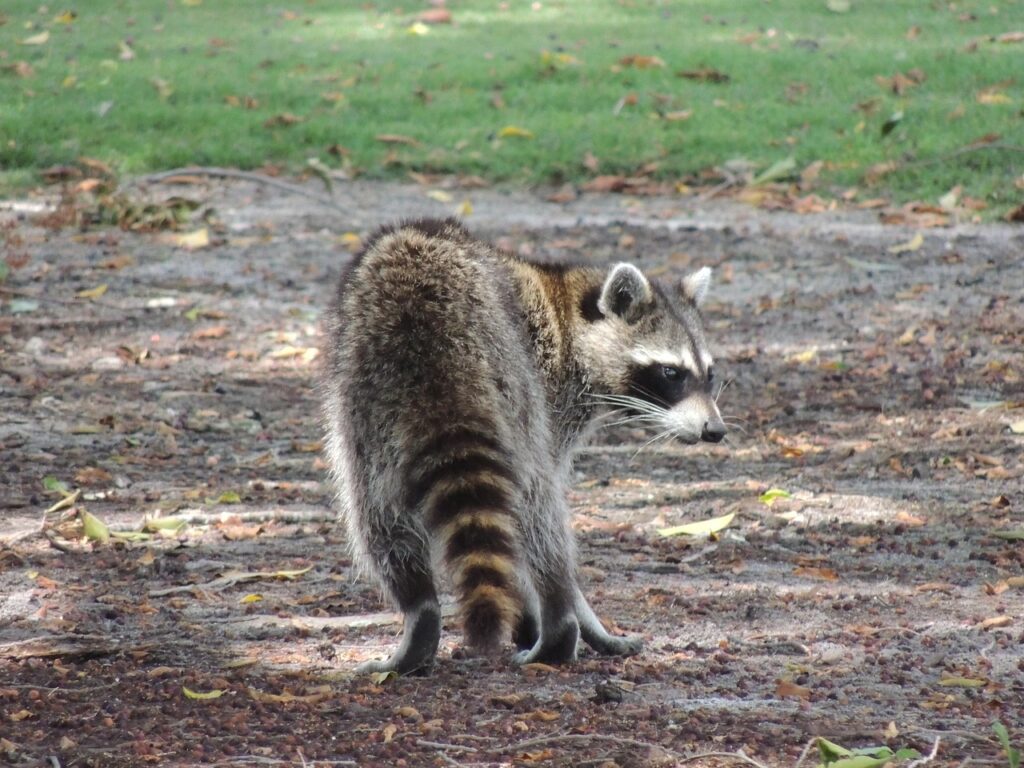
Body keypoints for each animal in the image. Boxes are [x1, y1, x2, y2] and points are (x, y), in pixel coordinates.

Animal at [321, 218, 725, 674]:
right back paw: (558, 620)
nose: (714, 430)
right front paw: (573, 616)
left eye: (709, 374)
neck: (569, 313)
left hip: (362, 402)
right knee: (539, 508)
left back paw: (419, 609)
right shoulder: (550, 388)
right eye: (672, 373)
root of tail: (423, 316)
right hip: (512, 389)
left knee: (375, 514)